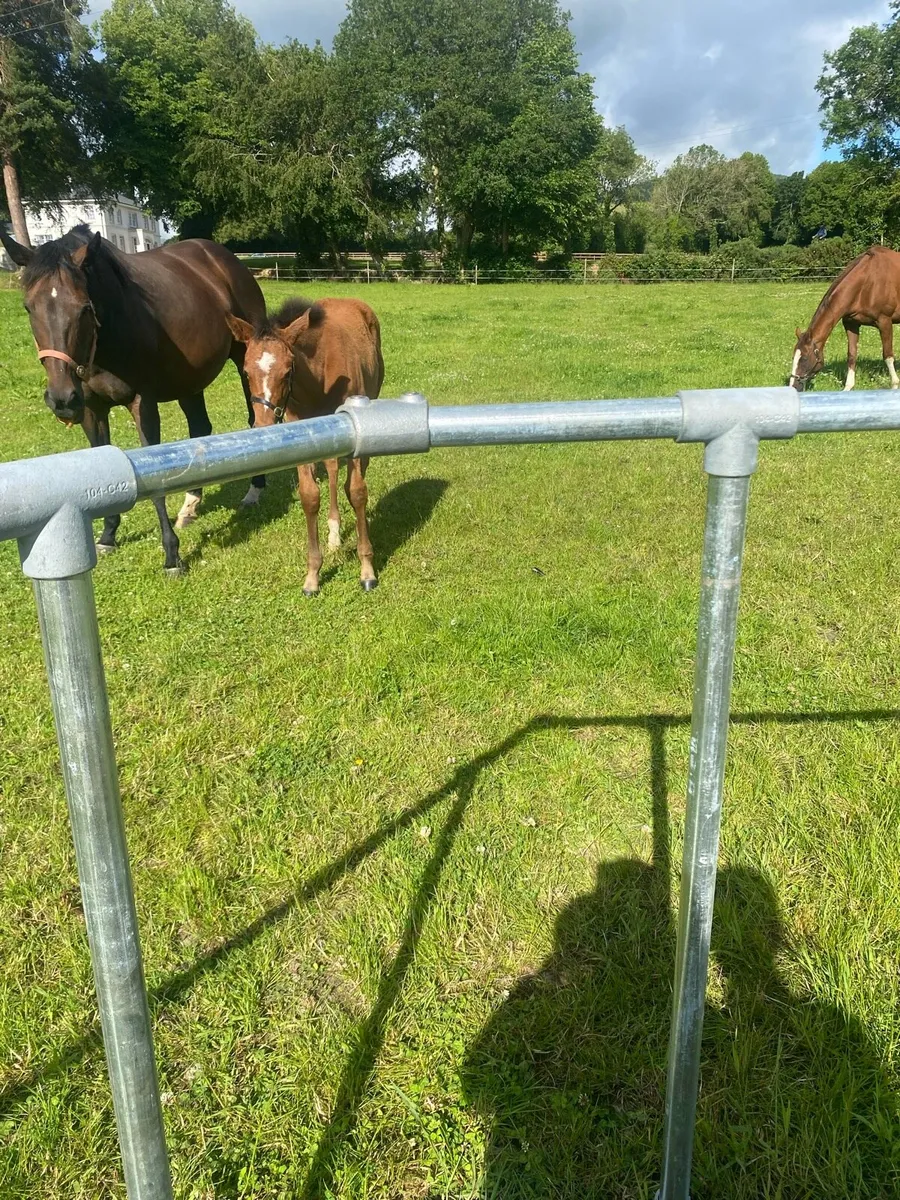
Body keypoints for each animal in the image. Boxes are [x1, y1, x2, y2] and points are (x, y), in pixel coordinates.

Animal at [1, 224, 268, 573]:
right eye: (29, 308)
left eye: (84, 307)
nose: (62, 399)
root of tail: (225, 258)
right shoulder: (93, 410)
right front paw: (107, 536)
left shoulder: (143, 404)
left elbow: (157, 480)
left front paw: (172, 555)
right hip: (189, 382)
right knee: (199, 430)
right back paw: (190, 505)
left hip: (244, 358)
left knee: (254, 421)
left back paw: (254, 490)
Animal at [226, 297, 385, 595]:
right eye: (245, 371)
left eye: (288, 370)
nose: (263, 426)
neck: (319, 379)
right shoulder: (302, 433)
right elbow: (310, 496)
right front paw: (312, 575)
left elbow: (356, 491)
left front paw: (367, 568)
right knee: (332, 467)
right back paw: (334, 532)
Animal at [790, 245, 900, 392]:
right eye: (793, 357)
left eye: (805, 358)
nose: (793, 386)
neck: (868, 283)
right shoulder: (851, 324)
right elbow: (852, 355)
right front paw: (848, 387)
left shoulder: (885, 322)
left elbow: (888, 355)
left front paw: (894, 385)